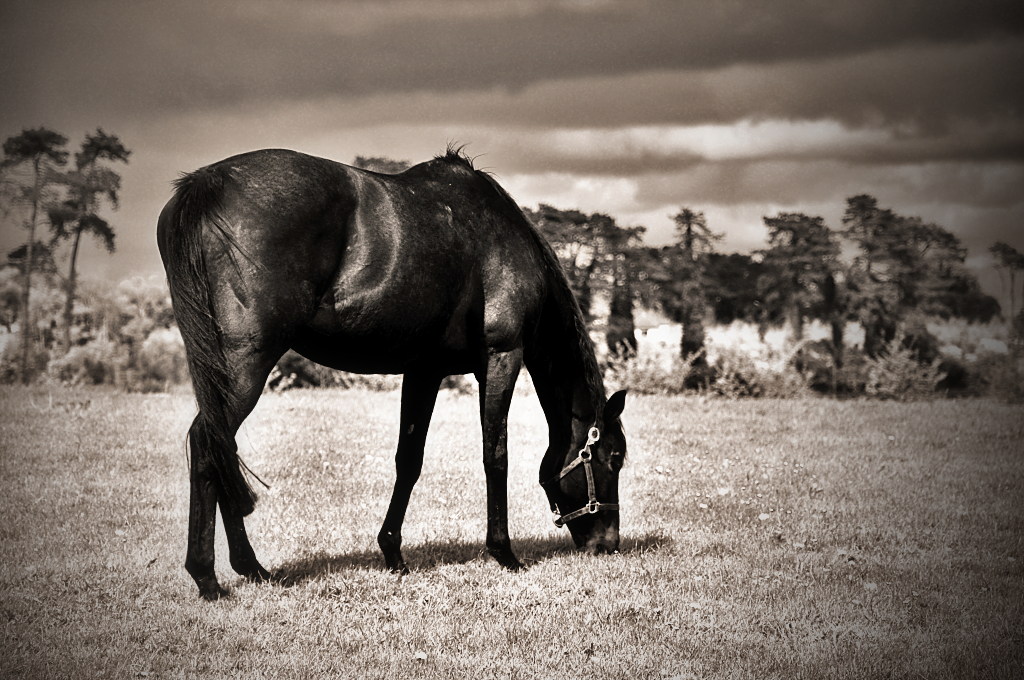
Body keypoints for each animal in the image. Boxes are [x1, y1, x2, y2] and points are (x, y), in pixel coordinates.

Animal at [155, 146, 626, 598]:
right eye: (615, 458)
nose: (608, 544)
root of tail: (206, 184)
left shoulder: (425, 371)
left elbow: (409, 460)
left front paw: (393, 553)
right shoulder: (502, 357)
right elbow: (496, 455)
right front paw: (504, 553)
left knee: (220, 448)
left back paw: (249, 568)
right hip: (244, 367)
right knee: (208, 443)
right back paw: (209, 578)